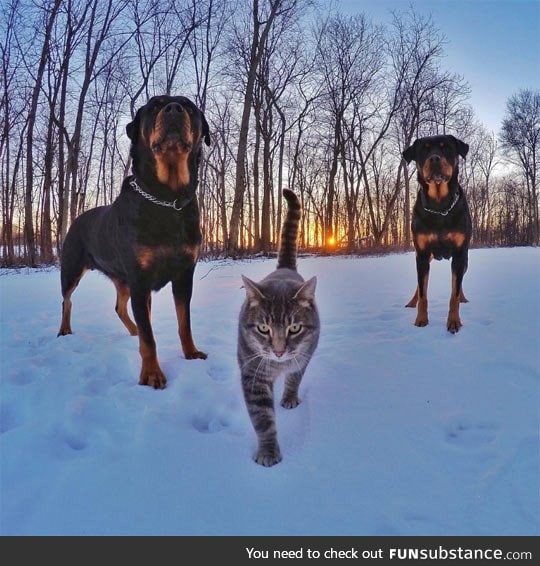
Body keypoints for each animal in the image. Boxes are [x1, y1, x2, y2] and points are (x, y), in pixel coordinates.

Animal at [58, 95, 211, 388]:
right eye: (155, 105)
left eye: (188, 106)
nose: (173, 109)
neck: (167, 199)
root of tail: (76, 220)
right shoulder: (141, 278)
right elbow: (149, 337)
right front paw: (151, 374)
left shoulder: (184, 273)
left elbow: (183, 322)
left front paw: (191, 353)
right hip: (72, 268)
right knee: (67, 300)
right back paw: (64, 330)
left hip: (122, 279)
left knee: (120, 307)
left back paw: (132, 330)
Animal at [237, 189, 320, 468]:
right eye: (263, 328)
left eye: (295, 328)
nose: (279, 351)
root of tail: (284, 268)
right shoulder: (253, 373)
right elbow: (263, 419)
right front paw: (268, 451)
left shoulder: (303, 355)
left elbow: (295, 377)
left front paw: (289, 397)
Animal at [402, 135, 470, 336]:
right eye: (424, 149)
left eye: (445, 147)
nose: (434, 159)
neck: (439, 207)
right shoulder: (422, 254)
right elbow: (423, 292)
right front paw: (421, 319)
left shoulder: (460, 254)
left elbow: (454, 292)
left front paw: (454, 322)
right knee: (419, 285)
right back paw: (412, 302)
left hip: (465, 258)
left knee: (460, 282)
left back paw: (463, 298)